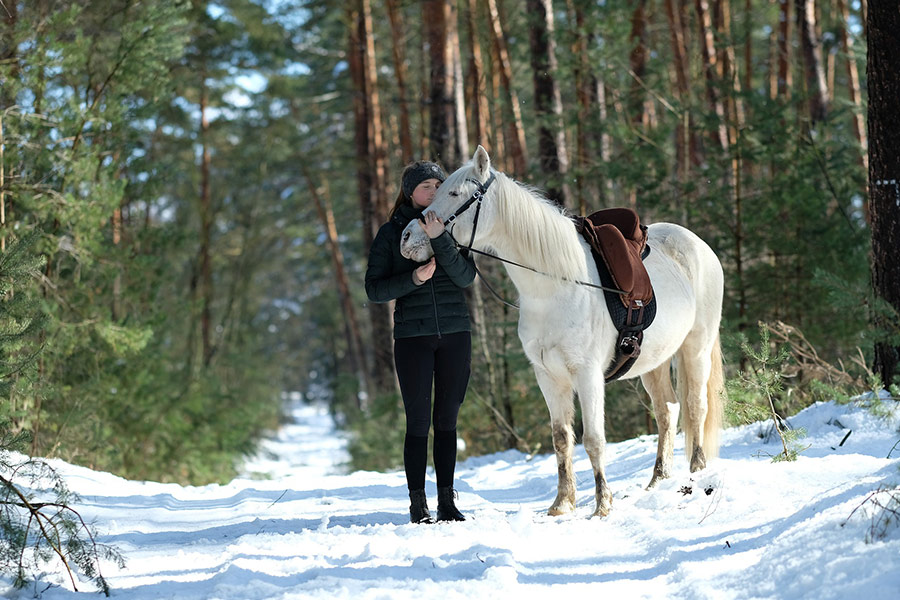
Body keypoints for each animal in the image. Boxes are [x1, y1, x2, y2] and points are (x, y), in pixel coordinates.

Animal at [400, 146, 725, 517]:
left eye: (454, 194)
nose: (407, 238)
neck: (556, 286)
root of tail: (699, 245)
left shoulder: (587, 375)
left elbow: (594, 440)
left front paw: (602, 506)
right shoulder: (548, 376)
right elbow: (561, 438)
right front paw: (562, 503)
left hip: (696, 348)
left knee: (695, 407)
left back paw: (697, 473)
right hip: (653, 362)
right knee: (667, 410)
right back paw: (658, 481)